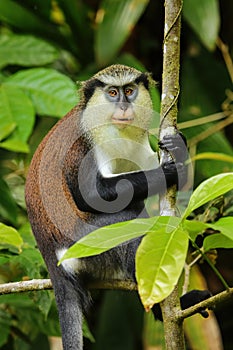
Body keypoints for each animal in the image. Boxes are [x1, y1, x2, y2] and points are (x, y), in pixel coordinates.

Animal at [25, 64, 209, 348]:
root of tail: (52, 260)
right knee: (132, 227)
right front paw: (168, 171)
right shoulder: (81, 145)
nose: (123, 106)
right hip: (87, 246)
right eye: (112, 92)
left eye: (129, 90)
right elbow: (91, 195)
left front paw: (180, 148)